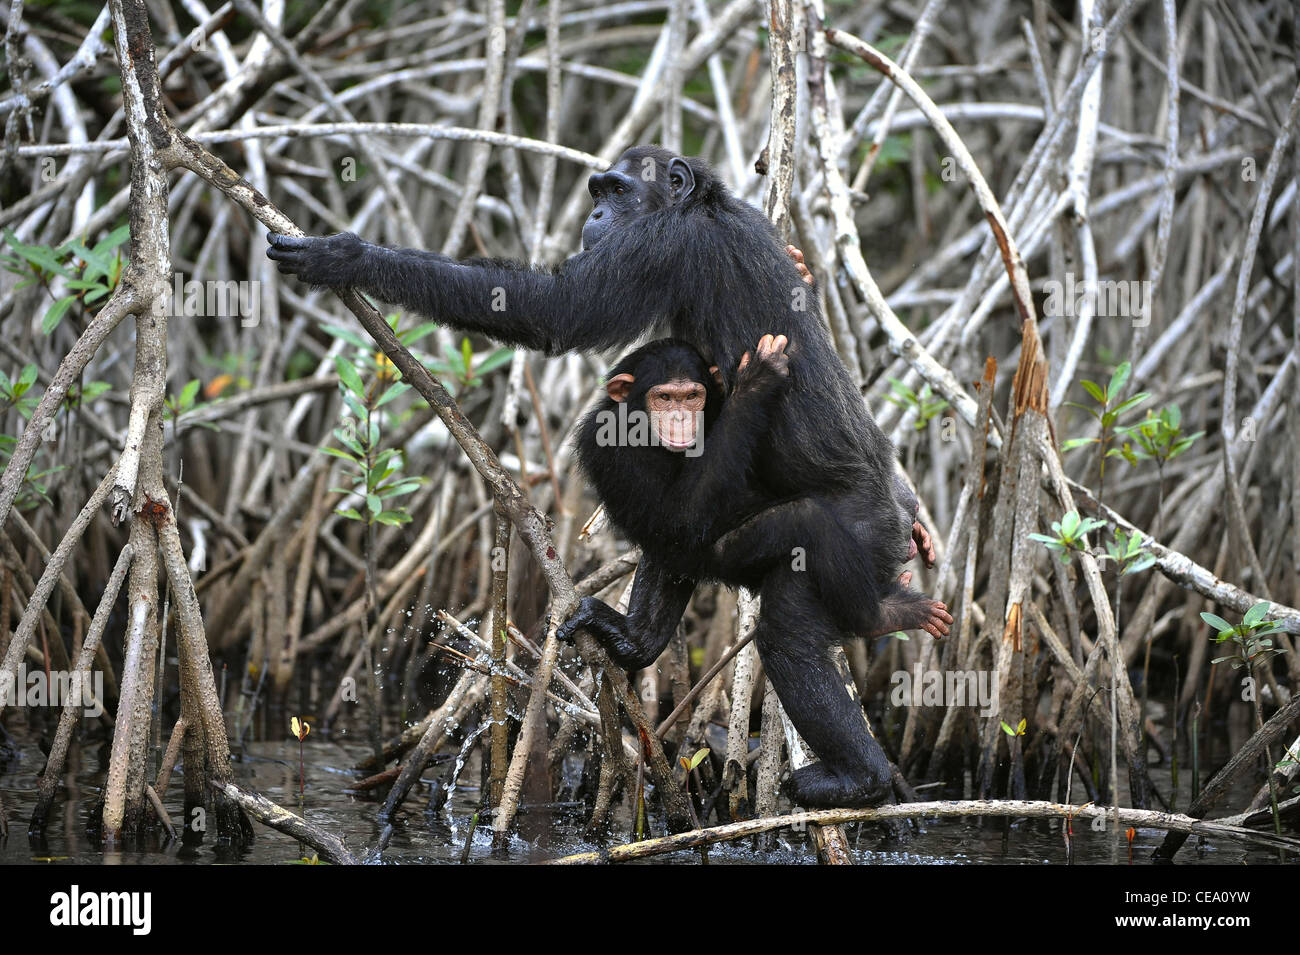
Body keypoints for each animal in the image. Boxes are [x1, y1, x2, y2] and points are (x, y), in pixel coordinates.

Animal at [271, 145, 946, 810]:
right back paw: (634, 640)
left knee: (789, 633)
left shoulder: (658, 246)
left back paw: (858, 772)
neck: (698, 207)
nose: (595, 216)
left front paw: (347, 256)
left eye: (618, 191)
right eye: (597, 193)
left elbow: (555, 310)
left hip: (856, 538)